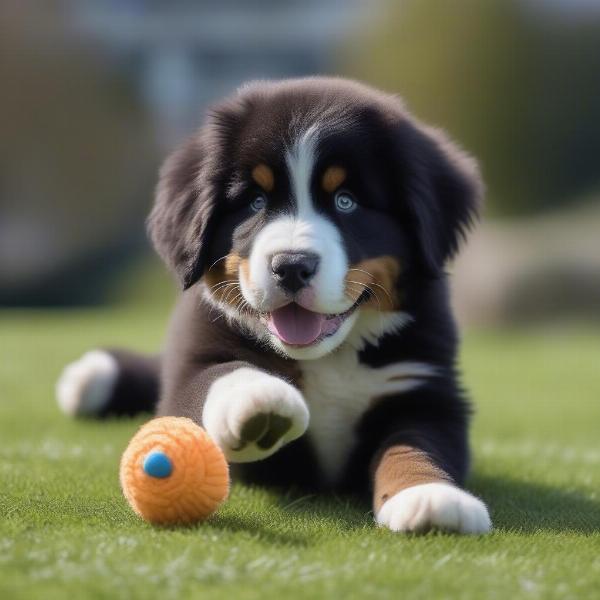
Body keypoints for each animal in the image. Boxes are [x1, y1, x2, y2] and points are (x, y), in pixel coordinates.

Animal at [57, 76, 492, 536]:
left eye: (346, 201)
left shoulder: (424, 389)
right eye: (255, 201)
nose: (292, 265)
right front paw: (258, 399)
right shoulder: (195, 358)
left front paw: (431, 496)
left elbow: (416, 448)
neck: (329, 358)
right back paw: (92, 375)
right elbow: (220, 374)